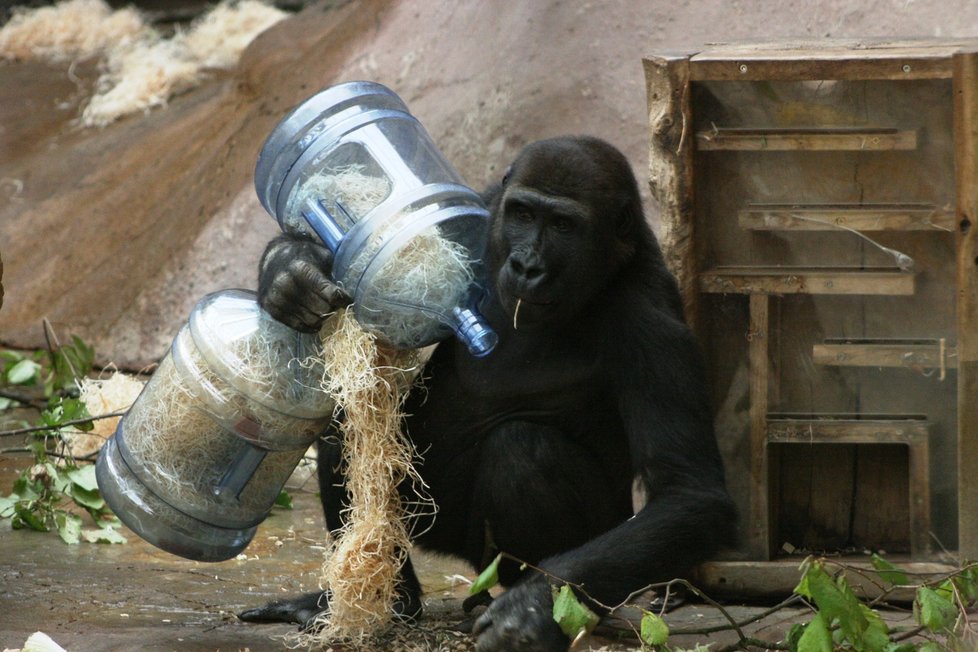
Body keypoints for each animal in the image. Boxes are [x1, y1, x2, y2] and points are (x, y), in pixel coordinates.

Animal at [240, 135, 736, 648]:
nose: (525, 264)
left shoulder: (652, 319)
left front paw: (531, 609)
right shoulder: (484, 208)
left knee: (523, 448)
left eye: (563, 225)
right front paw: (291, 274)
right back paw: (394, 598)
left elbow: (689, 492)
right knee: (346, 419)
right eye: (522, 214)